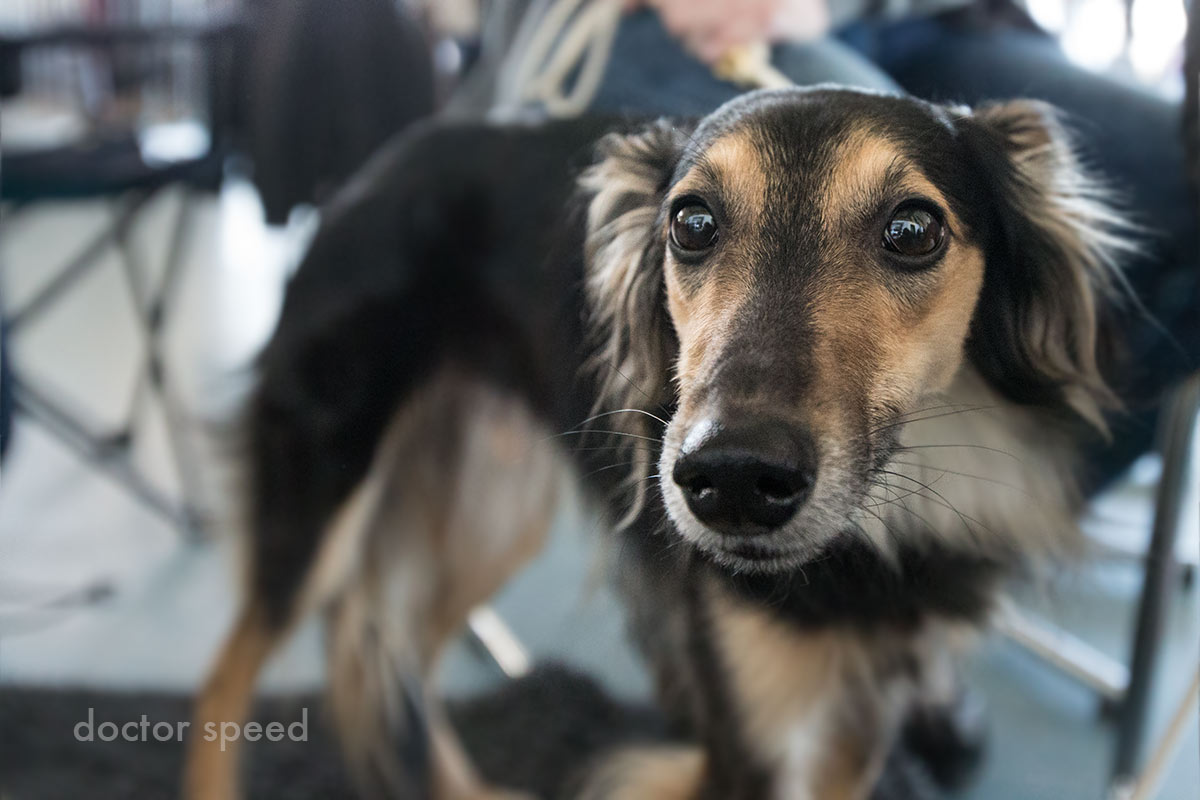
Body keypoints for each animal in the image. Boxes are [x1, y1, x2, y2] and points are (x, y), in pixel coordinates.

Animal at [182, 87, 1128, 800]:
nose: (732, 482)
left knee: (396, 652)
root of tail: (381, 164)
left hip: (492, 505)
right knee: (228, 681)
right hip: (321, 492)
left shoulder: (857, 713)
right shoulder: (747, 729)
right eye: (693, 223)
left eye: (913, 229)